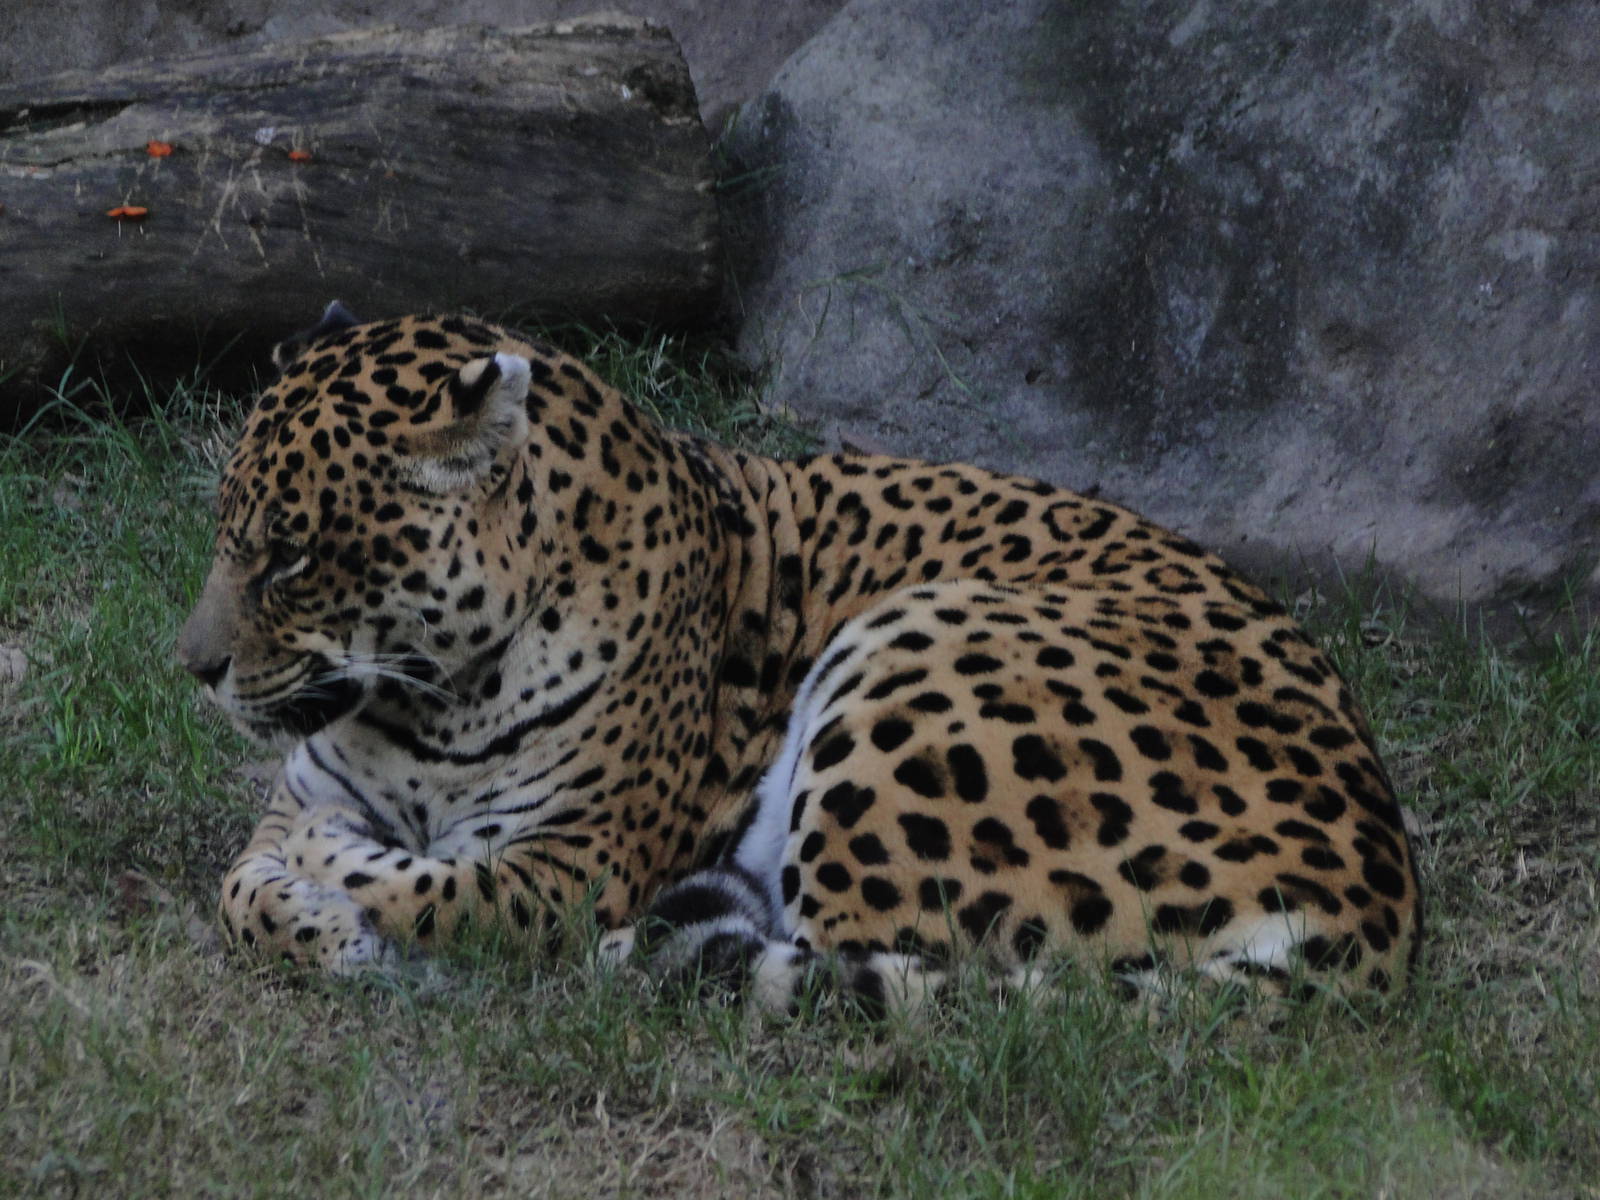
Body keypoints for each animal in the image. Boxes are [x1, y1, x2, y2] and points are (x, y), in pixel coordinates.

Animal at [177, 303, 1422, 1014]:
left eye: (291, 555)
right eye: (227, 530)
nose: (193, 669)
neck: (424, 702)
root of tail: (1379, 914)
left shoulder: (573, 861)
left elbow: (450, 893)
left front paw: (348, 904)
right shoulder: (303, 794)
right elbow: (240, 884)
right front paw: (314, 920)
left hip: (917, 655)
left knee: (868, 971)